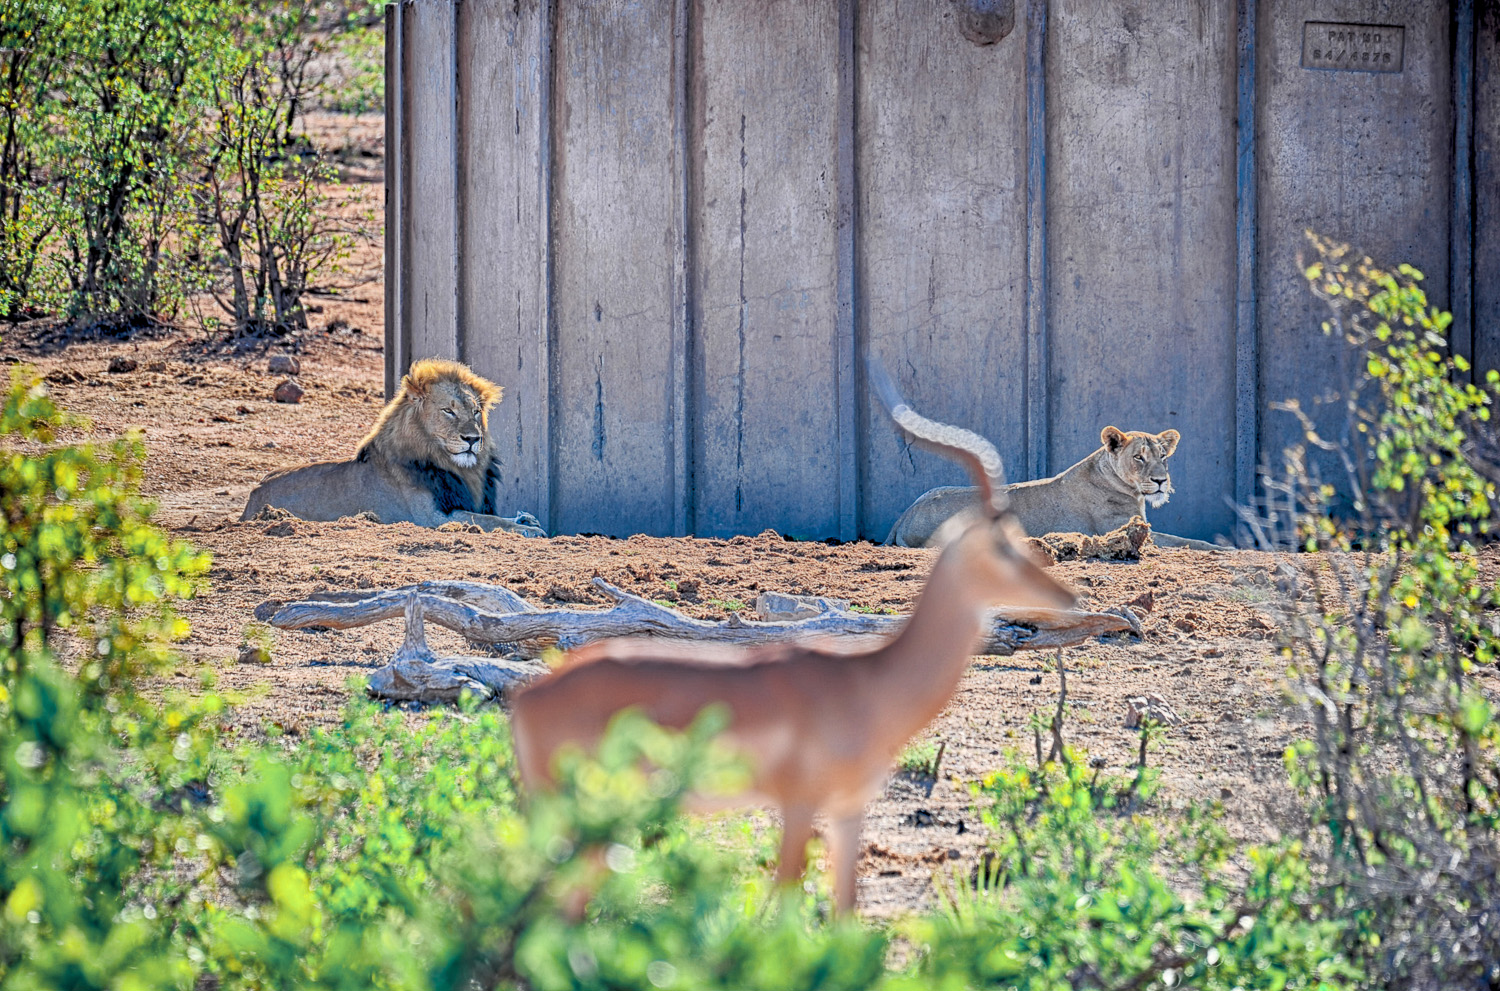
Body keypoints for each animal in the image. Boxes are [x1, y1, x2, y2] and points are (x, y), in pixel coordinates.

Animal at [240, 358, 546, 536]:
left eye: (475, 412)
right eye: (448, 411)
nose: (473, 439)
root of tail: (253, 495)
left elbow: (489, 516)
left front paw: (526, 520)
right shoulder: (431, 517)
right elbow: (484, 521)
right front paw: (527, 529)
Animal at [508, 362, 1079, 912]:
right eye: (1002, 546)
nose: (1066, 594)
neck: (870, 683)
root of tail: (531, 701)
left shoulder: (849, 808)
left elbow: (846, 910)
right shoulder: (798, 802)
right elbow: (785, 900)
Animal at [884, 425, 1217, 550]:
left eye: (1163, 457)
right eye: (1139, 457)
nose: (1161, 481)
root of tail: (904, 515)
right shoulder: (1122, 529)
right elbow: (1190, 541)